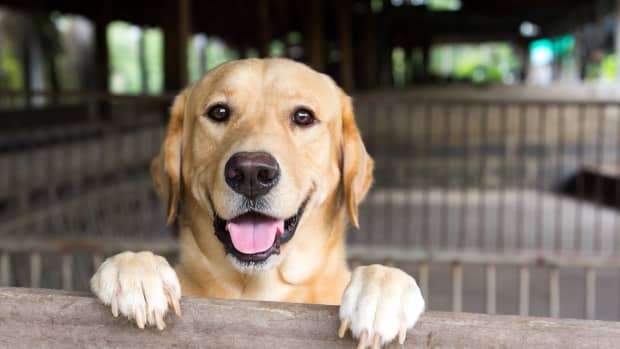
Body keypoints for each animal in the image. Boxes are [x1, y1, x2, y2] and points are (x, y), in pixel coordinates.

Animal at [89, 58, 424, 346]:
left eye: (303, 116)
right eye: (219, 112)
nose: (251, 173)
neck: (258, 288)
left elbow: (384, 276)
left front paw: (381, 291)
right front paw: (135, 270)